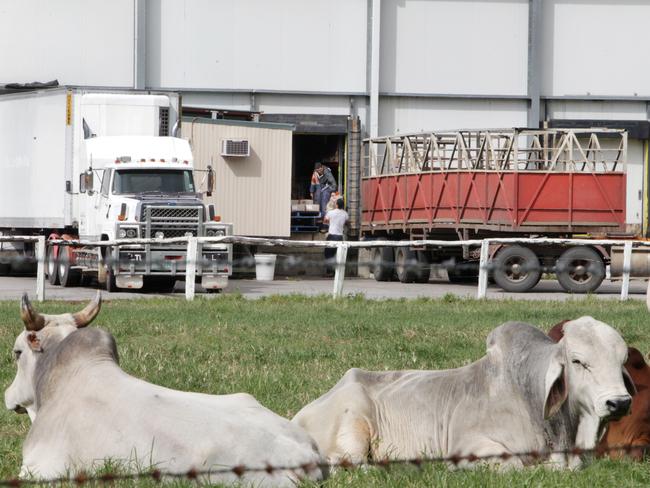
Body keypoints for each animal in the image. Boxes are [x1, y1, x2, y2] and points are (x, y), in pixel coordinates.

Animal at [292, 316, 632, 468]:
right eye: (578, 361)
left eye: (622, 360)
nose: (619, 402)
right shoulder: (469, 445)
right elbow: (513, 464)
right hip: (352, 426)